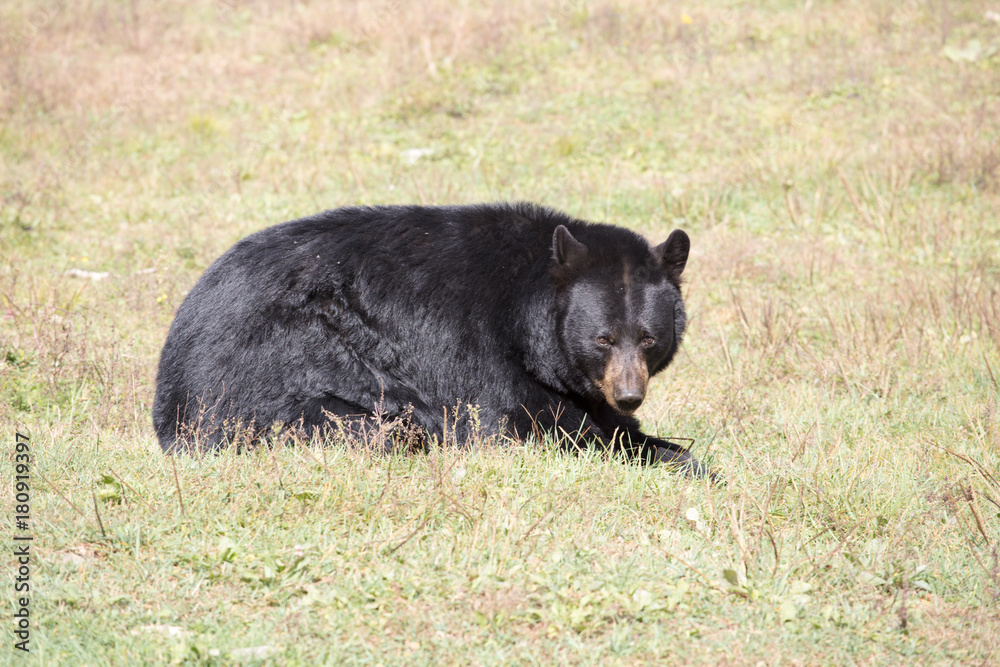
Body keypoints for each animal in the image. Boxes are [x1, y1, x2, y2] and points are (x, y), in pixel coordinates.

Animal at [152, 202, 710, 477]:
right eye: (602, 338)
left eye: (648, 339)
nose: (629, 393)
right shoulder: (476, 350)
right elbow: (522, 424)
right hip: (277, 368)